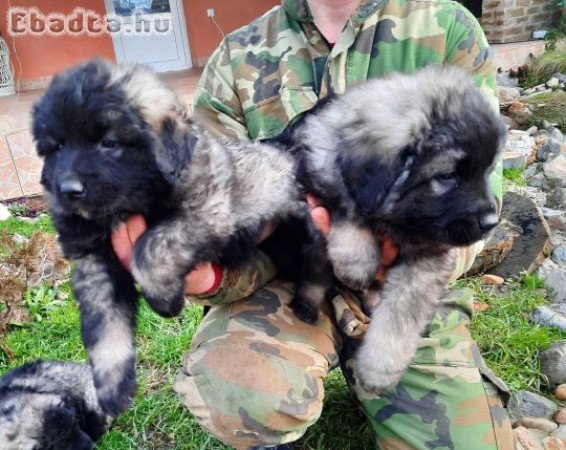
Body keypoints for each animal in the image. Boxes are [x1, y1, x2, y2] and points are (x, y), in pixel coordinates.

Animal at [32, 59, 328, 414]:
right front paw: (112, 388)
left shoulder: (206, 212)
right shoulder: (94, 265)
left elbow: (149, 247)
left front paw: (165, 299)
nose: (68, 191)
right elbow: (105, 326)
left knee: (316, 266)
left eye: (110, 143)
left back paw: (307, 302)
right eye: (57, 146)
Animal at [286, 65, 508, 392]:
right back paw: (307, 305)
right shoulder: (322, 181)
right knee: (315, 279)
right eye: (446, 176)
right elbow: (349, 207)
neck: (399, 218)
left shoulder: (428, 260)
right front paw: (357, 260)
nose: (491, 223)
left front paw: (379, 369)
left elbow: (400, 318)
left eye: (487, 171)